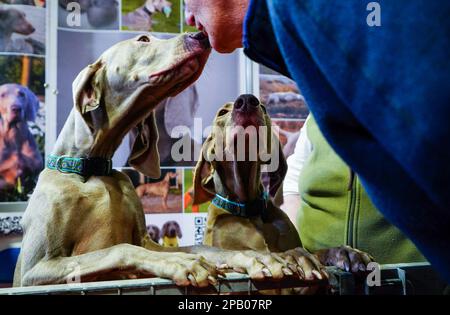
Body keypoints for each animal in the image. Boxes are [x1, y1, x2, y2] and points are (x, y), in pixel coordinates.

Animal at [14, 32, 310, 288]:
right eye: (144, 39)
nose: (201, 36)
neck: (94, 169)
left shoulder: (147, 240)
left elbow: (205, 247)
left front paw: (260, 257)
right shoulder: (37, 268)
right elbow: (120, 249)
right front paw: (181, 262)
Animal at [192, 94, 372, 282]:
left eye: (264, 108)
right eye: (222, 112)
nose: (247, 101)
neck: (249, 209)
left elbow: (315, 252)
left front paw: (345, 252)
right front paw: (293, 256)